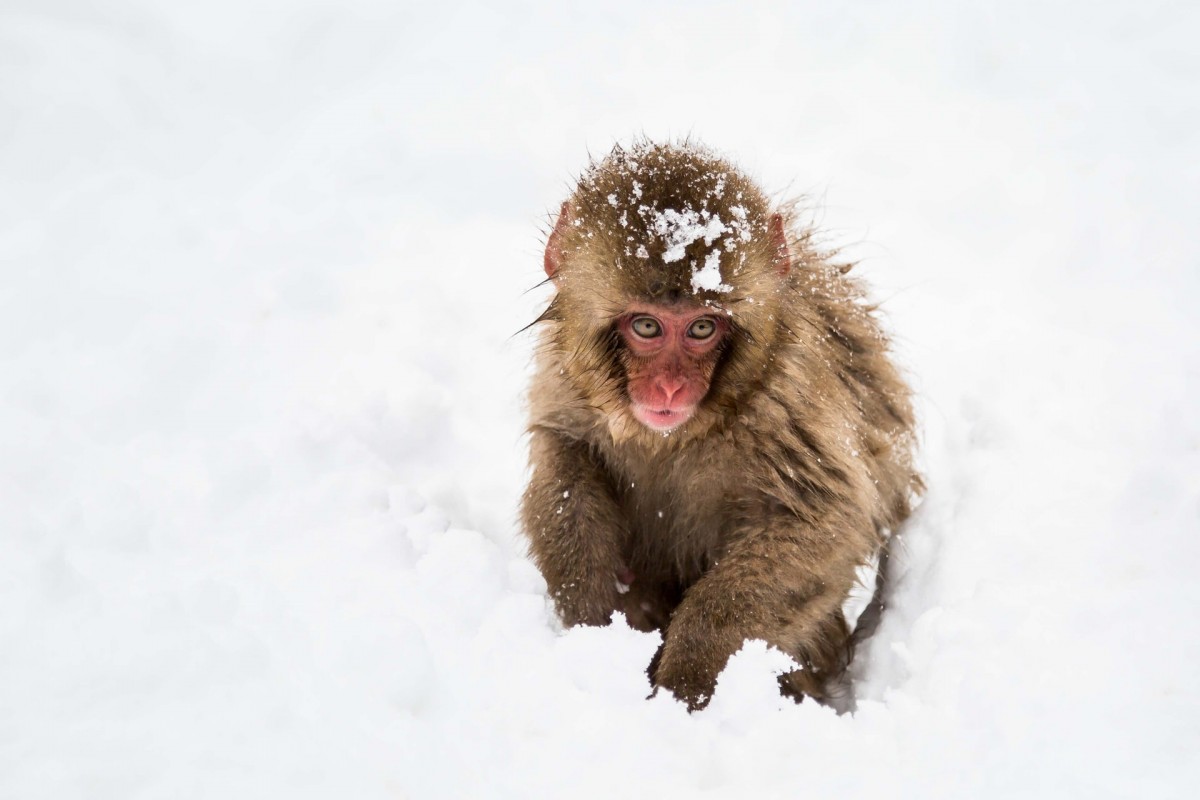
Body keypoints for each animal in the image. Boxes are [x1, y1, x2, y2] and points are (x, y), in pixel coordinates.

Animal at [521, 141, 920, 710]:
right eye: (647, 326)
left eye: (702, 327)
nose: (669, 388)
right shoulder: (568, 382)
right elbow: (565, 458)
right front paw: (591, 621)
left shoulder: (790, 402)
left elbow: (825, 522)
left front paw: (685, 678)